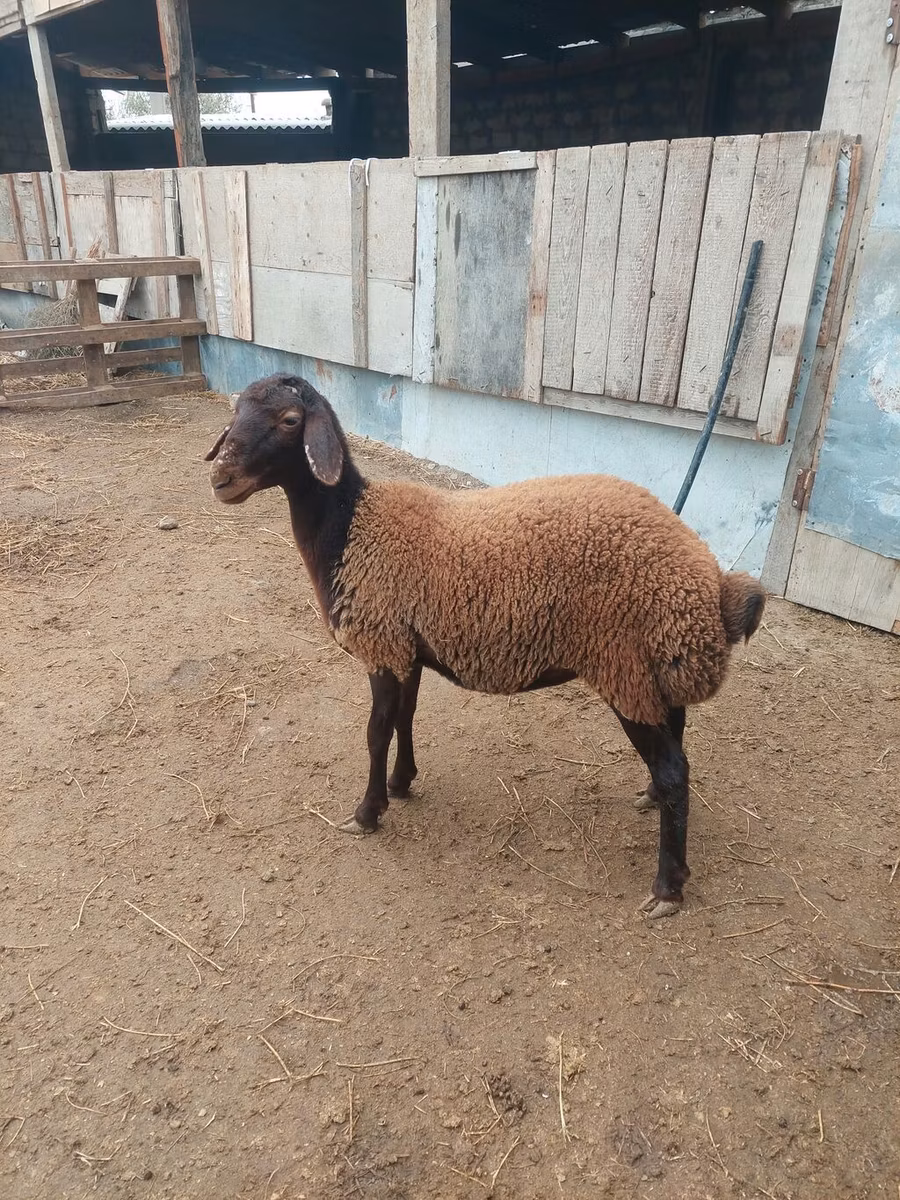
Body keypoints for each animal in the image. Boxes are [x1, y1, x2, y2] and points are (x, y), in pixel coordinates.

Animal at [206, 373, 766, 918]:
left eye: (290, 420)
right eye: (237, 410)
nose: (220, 479)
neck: (350, 527)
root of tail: (711, 585)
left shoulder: (383, 644)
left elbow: (375, 732)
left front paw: (367, 813)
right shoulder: (407, 649)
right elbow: (405, 719)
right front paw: (401, 784)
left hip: (624, 666)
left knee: (674, 771)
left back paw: (667, 887)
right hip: (656, 662)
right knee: (676, 742)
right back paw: (650, 801)